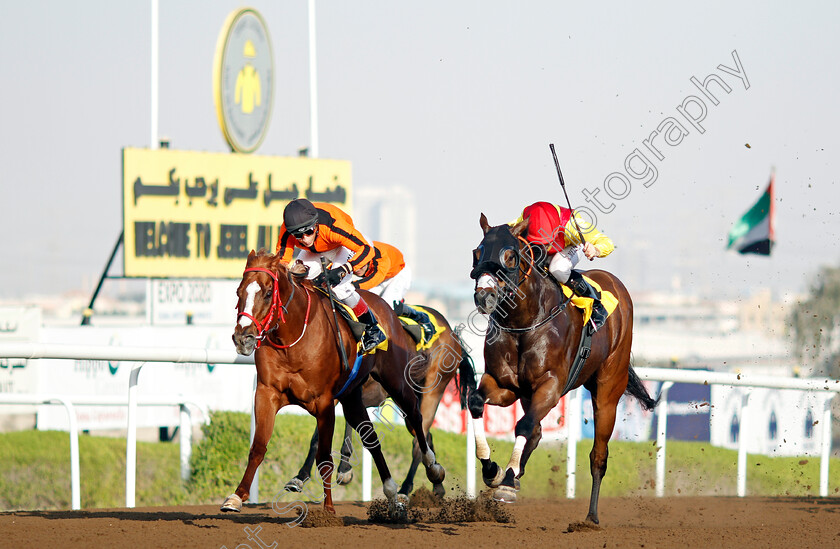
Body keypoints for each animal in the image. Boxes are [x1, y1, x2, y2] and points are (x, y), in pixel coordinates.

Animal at [220, 248, 450, 512]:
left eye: (268, 293)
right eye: (239, 292)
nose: (242, 338)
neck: (294, 339)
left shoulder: (324, 401)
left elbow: (324, 456)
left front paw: (328, 509)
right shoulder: (267, 393)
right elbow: (258, 446)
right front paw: (236, 497)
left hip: (403, 383)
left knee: (416, 420)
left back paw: (431, 471)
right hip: (353, 396)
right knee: (372, 438)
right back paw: (393, 493)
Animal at [466, 213, 656, 524]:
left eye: (510, 255)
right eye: (477, 252)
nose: (484, 297)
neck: (524, 322)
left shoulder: (551, 386)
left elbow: (524, 424)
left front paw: (506, 481)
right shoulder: (504, 385)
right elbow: (476, 403)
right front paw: (494, 471)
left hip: (608, 391)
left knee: (598, 456)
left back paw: (591, 517)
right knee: (536, 433)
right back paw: (512, 476)